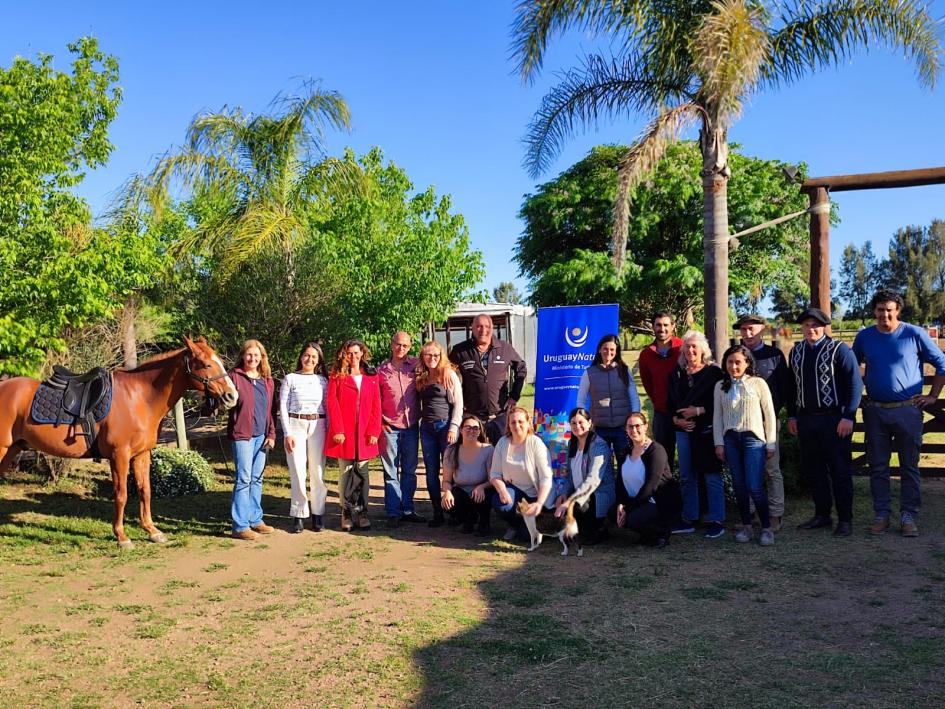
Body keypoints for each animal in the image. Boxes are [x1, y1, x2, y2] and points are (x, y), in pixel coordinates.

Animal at [0, 338, 236, 548]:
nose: (231, 396)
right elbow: (121, 495)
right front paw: (122, 536)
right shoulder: (119, 455)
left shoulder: (142, 454)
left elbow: (145, 490)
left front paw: (152, 531)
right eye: (206, 364)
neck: (140, 397)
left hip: (10, 450)